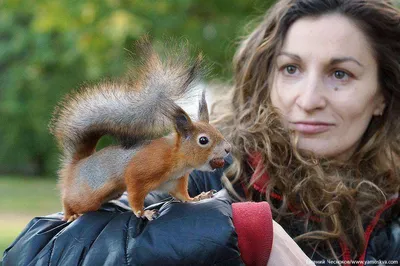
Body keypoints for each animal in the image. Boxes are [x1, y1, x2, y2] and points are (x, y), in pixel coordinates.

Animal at [50, 41, 231, 221]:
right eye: (203, 140)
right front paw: (144, 213)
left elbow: (181, 195)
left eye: (217, 130)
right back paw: (70, 215)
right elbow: (135, 195)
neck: (176, 158)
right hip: (87, 195)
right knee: (69, 199)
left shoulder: (175, 181)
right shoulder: (138, 173)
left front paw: (197, 198)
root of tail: (77, 164)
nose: (228, 148)